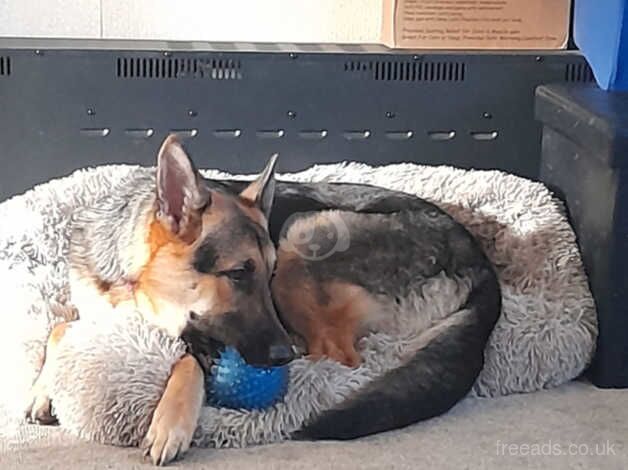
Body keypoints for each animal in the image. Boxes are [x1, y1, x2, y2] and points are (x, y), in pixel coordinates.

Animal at [25, 134, 500, 464]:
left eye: (264, 274)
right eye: (238, 274)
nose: (281, 356)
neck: (133, 284)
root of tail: (480, 263)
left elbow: (187, 359)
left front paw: (171, 424)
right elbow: (59, 327)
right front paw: (42, 388)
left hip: (305, 234)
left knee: (340, 358)